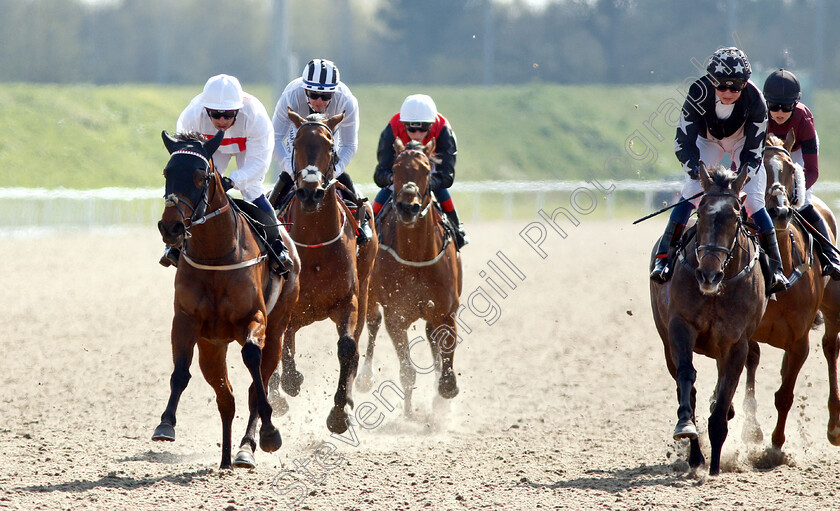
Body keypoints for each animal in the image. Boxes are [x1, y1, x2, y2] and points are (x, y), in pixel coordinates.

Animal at [156, 130, 300, 470]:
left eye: (200, 176)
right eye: (168, 173)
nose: (171, 227)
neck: (216, 257)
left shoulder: (255, 318)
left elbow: (252, 361)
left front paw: (270, 434)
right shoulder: (185, 321)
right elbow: (180, 372)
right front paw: (165, 424)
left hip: (277, 331)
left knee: (255, 385)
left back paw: (247, 448)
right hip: (212, 347)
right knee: (227, 398)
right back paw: (224, 460)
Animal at [268, 110, 378, 434]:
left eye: (330, 145)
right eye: (296, 144)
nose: (310, 192)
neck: (315, 243)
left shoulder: (347, 301)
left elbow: (348, 347)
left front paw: (339, 413)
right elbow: (282, 346)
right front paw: (290, 382)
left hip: (365, 287)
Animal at [358, 138, 462, 414]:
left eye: (426, 170)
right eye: (395, 169)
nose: (408, 207)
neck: (416, 257)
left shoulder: (446, 310)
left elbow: (446, 356)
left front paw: (443, 393)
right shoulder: (397, 316)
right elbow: (407, 371)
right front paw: (408, 413)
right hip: (369, 293)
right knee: (372, 324)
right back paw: (364, 377)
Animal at [648, 163, 768, 476]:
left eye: (736, 216)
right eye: (700, 213)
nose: (708, 275)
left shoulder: (736, 342)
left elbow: (726, 390)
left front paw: (714, 467)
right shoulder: (680, 327)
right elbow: (686, 377)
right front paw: (687, 428)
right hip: (666, 342)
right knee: (686, 385)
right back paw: (694, 454)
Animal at [744, 134, 840, 450]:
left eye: (788, 167)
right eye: (756, 170)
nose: (780, 211)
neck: (782, 270)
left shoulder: (800, 340)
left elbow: (785, 395)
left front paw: (776, 444)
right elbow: (751, 361)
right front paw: (752, 429)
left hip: (833, 306)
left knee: (831, 346)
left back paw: (834, 425)